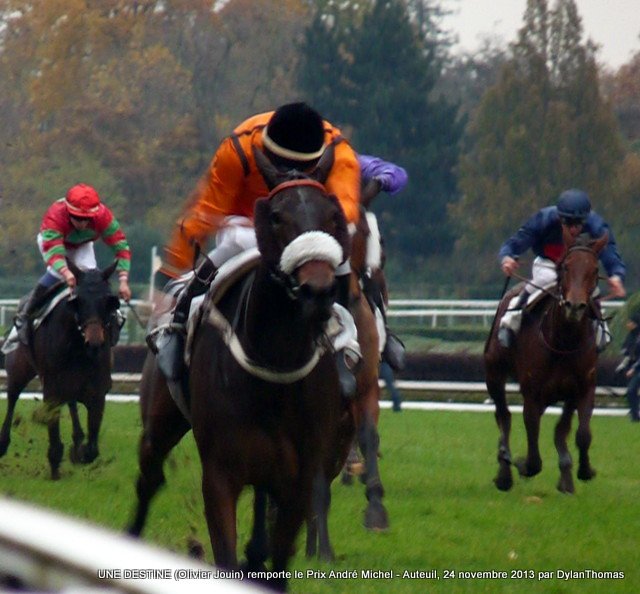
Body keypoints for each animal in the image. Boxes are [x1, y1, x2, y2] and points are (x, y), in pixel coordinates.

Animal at [0, 261, 120, 480]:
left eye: (109, 301)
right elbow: (54, 434)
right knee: (12, 397)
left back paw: (77, 438)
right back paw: (3, 442)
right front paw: (56, 468)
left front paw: (78, 451)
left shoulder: (98, 392)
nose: (95, 342)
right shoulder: (52, 391)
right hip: (19, 369)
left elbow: (92, 449)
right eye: (78, 301)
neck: (79, 349)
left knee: (72, 403)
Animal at [127, 146, 351, 591]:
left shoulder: (301, 476)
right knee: (150, 477)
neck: (275, 364)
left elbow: (278, 559)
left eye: (332, 215)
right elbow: (226, 555)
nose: (317, 290)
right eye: (276, 216)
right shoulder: (220, 472)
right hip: (160, 421)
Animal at [484, 229, 608, 494]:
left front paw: (580, 472)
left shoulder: (583, 388)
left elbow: (580, 433)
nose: (574, 305)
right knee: (503, 416)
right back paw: (504, 472)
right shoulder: (532, 393)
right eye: (566, 267)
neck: (564, 342)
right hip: (494, 375)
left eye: (594, 269)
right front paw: (520, 464)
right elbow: (533, 456)